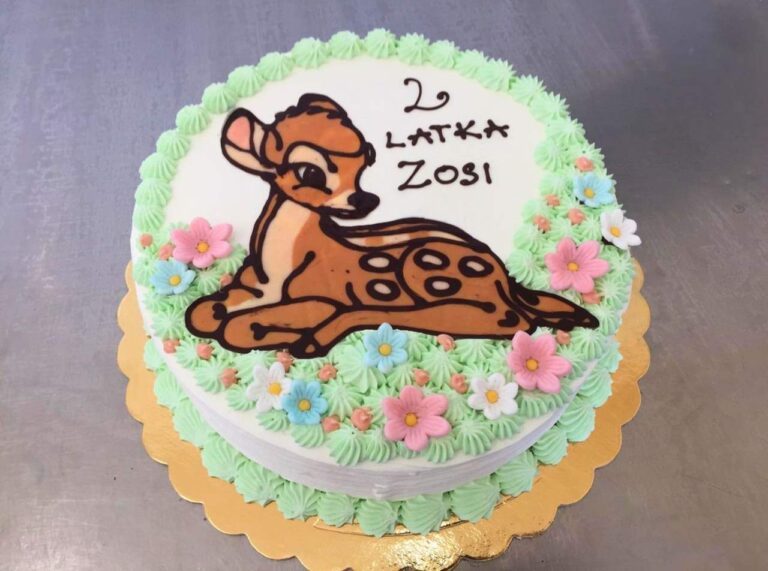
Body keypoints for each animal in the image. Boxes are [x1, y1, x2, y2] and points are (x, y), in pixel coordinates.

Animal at [185, 94, 598, 358]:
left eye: (367, 156)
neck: (280, 260)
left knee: (501, 318)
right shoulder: (253, 286)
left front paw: (263, 330)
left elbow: (240, 326)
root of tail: (506, 280)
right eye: (309, 171)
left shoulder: (322, 298)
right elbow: (205, 312)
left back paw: (316, 338)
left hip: (424, 263)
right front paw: (216, 314)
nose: (365, 202)